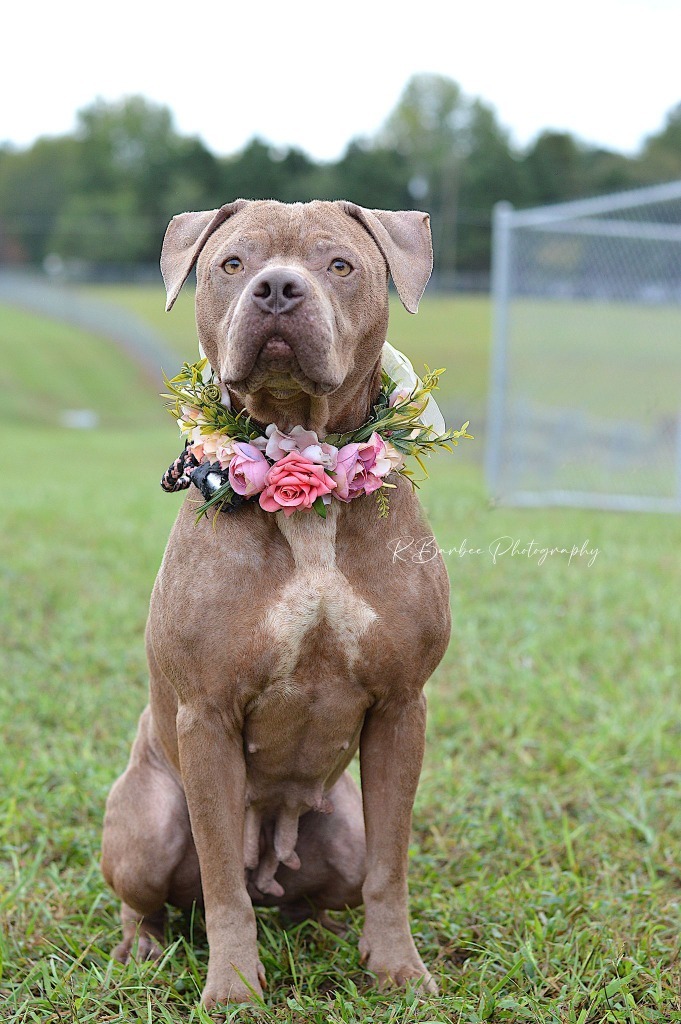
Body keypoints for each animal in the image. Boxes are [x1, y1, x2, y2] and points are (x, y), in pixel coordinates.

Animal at [100, 199, 450, 1007]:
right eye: (233, 263)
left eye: (339, 265)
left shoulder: (401, 709)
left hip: (340, 828)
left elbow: (391, 866)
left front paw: (397, 968)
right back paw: (143, 946)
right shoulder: (207, 717)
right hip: (147, 820)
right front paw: (232, 988)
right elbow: (222, 881)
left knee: (326, 884)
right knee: (159, 895)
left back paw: (328, 932)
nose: (278, 289)